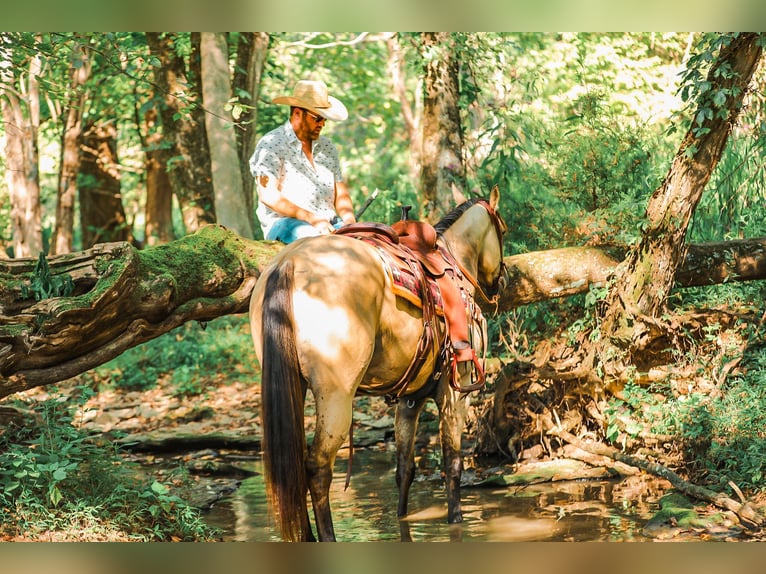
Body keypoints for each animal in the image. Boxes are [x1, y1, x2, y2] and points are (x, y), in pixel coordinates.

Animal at [249, 186, 506, 541]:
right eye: (503, 230)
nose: (501, 280)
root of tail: (288, 263)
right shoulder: (455, 394)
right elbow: (452, 464)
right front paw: (455, 520)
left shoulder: (410, 400)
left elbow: (405, 468)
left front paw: (402, 519)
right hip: (336, 396)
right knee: (317, 467)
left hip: (292, 388)